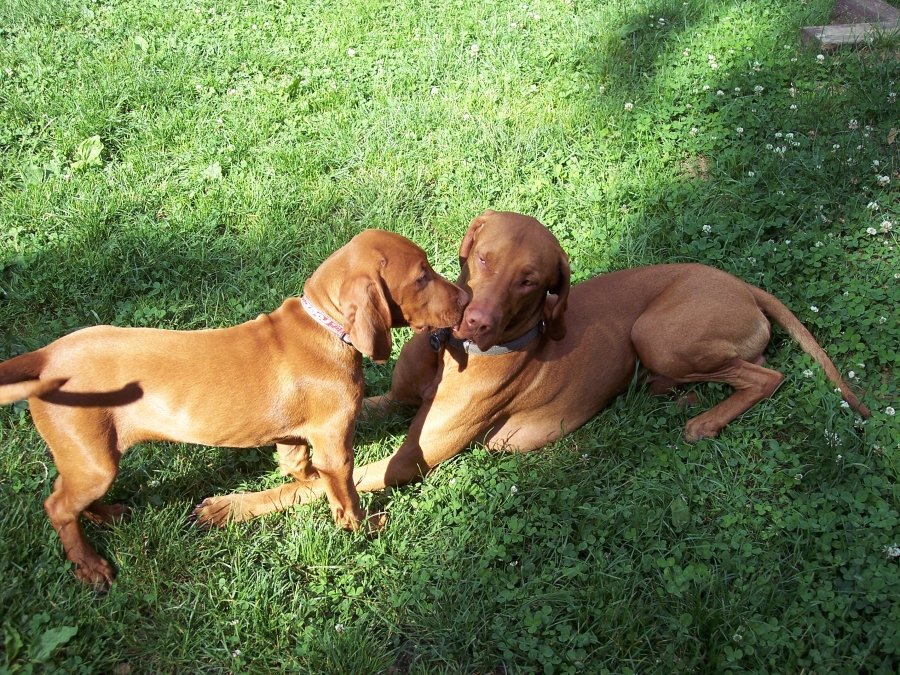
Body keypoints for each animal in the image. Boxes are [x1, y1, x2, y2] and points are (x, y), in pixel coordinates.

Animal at [0, 229, 467, 589]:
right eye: (422, 276)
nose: (465, 298)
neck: (323, 326)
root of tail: (46, 355)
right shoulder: (336, 444)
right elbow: (344, 494)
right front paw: (362, 528)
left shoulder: (294, 437)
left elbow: (298, 469)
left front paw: (300, 488)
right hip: (94, 460)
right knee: (57, 506)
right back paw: (90, 565)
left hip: (89, 456)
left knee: (67, 493)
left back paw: (108, 515)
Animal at [180, 210, 870, 520]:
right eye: (482, 259)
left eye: (531, 280)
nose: (475, 320)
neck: (450, 354)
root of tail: (742, 284)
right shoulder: (393, 403)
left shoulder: (407, 463)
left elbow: (307, 487)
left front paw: (230, 505)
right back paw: (682, 396)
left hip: (655, 332)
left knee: (768, 374)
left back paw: (705, 419)